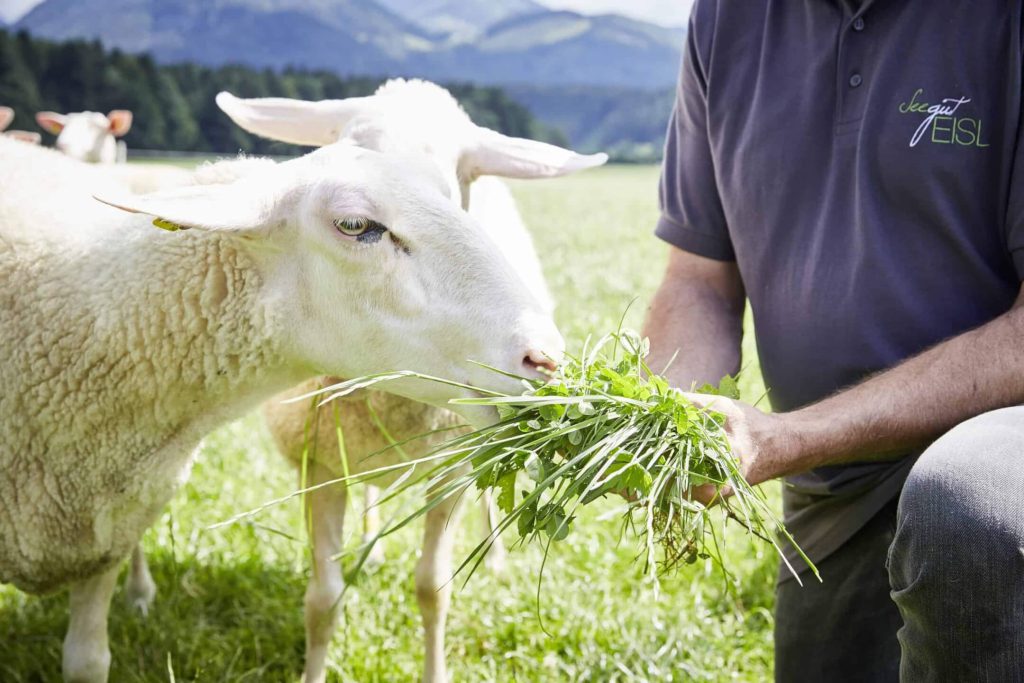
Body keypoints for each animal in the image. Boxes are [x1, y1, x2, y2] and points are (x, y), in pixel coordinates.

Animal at [212, 80, 602, 683]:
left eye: (447, 186)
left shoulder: (453, 471)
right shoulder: (318, 465)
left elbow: (432, 589)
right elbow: (321, 599)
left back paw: (493, 556)